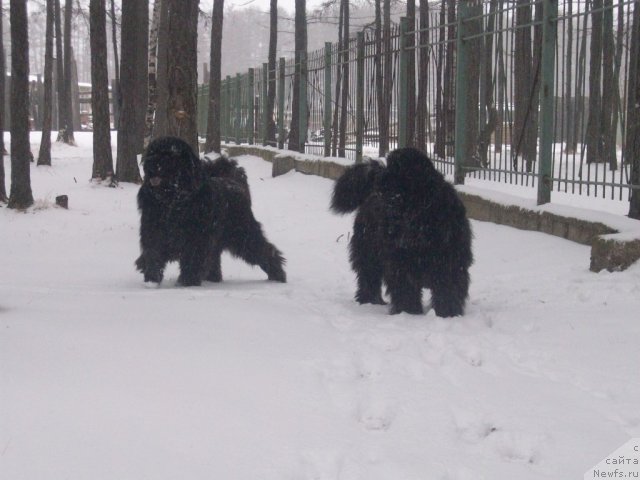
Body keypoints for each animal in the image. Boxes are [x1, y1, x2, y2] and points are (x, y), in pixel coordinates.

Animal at [135, 135, 284, 284]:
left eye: (168, 154)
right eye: (151, 152)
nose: (150, 163)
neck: (173, 199)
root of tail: (235, 183)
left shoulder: (196, 237)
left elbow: (192, 260)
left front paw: (187, 281)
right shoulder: (153, 231)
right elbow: (153, 254)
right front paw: (151, 279)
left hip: (241, 233)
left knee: (263, 250)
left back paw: (278, 275)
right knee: (214, 257)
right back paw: (213, 277)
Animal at [332, 148, 472, 316]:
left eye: (397, 171)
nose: (379, 181)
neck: (420, 216)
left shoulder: (449, 260)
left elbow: (448, 289)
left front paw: (448, 313)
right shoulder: (401, 262)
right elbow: (406, 289)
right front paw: (410, 313)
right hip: (368, 252)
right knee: (369, 277)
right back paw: (370, 301)